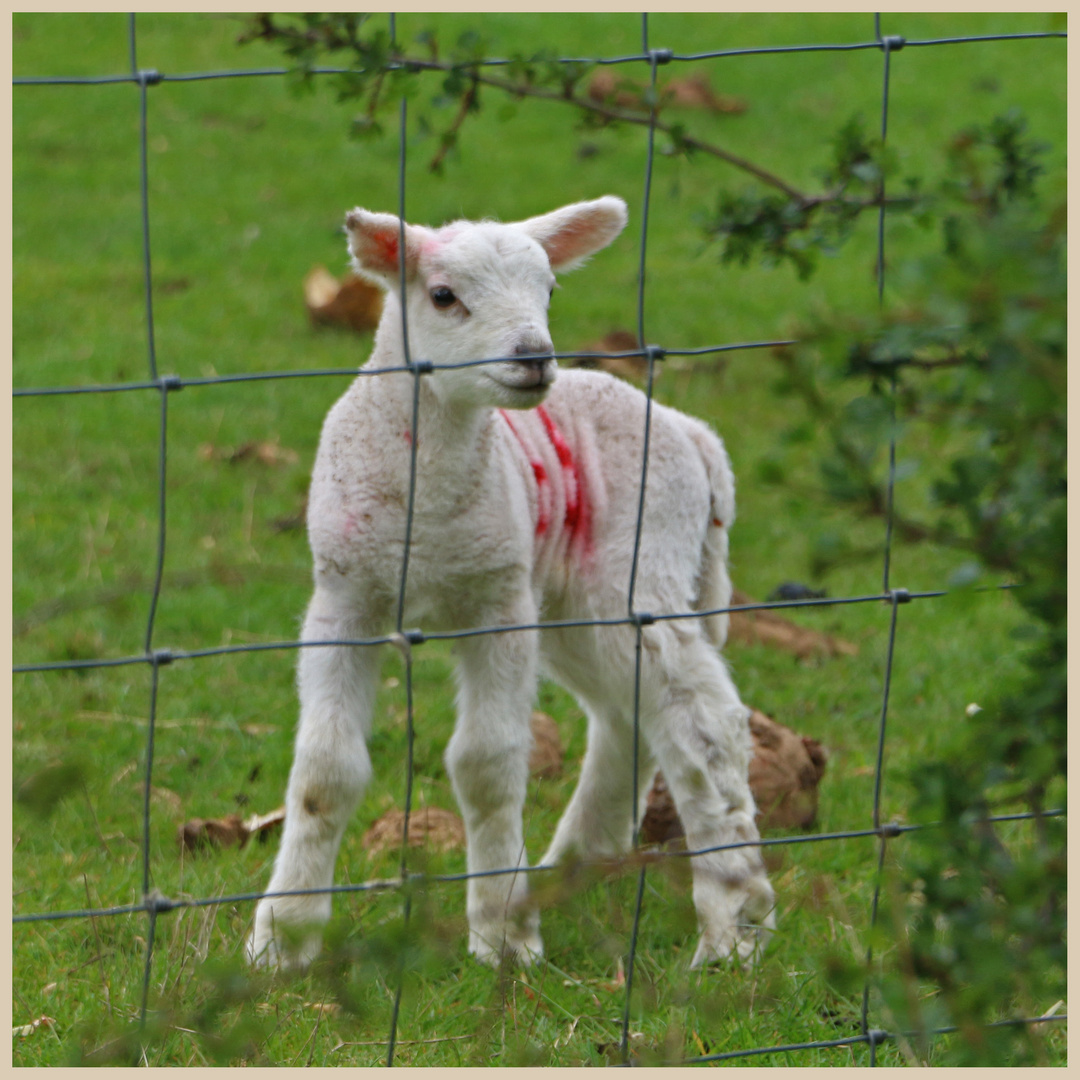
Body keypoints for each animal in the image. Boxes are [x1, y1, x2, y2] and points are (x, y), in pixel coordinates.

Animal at [248, 192, 777, 972]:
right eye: (442, 295)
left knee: (702, 724)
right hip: (571, 603)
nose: (534, 358)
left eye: (550, 291)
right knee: (629, 715)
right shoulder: (344, 599)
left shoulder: (497, 601)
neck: (428, 512)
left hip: (638, 566)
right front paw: (281, 941)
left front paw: (502, 936)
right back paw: (568, 871)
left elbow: (487, 766)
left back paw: (732, 927)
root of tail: (693, 435)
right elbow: (324, 774)